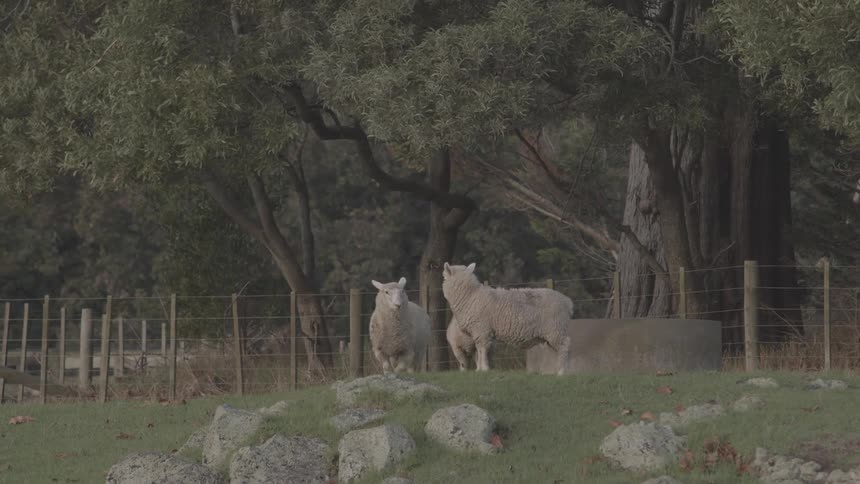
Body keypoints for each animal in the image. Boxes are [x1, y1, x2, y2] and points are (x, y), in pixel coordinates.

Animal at [442, 262, 574, 375]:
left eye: (444, 277)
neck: (470, 296)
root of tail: (567, 302)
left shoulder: (482, 330)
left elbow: (482, 350)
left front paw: (484, 369)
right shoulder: (479, 332)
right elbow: (478, 351)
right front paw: (479, 369)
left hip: (556, 328)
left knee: (564, 347)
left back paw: (562, 372)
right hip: (553, 331)